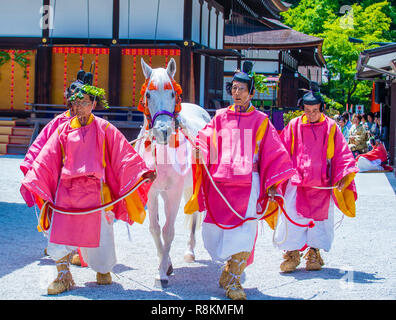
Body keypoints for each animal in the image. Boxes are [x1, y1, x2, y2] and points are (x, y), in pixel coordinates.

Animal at [134, 57, 210, 288]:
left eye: (172, 94)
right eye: (148, 95)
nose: (163, 131)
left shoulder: (174, 192)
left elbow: (168, 231)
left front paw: (162, 273)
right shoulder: (152, 192)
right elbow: (155, 229)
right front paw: (165, 264)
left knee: (194, 216)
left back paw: (190, 251)